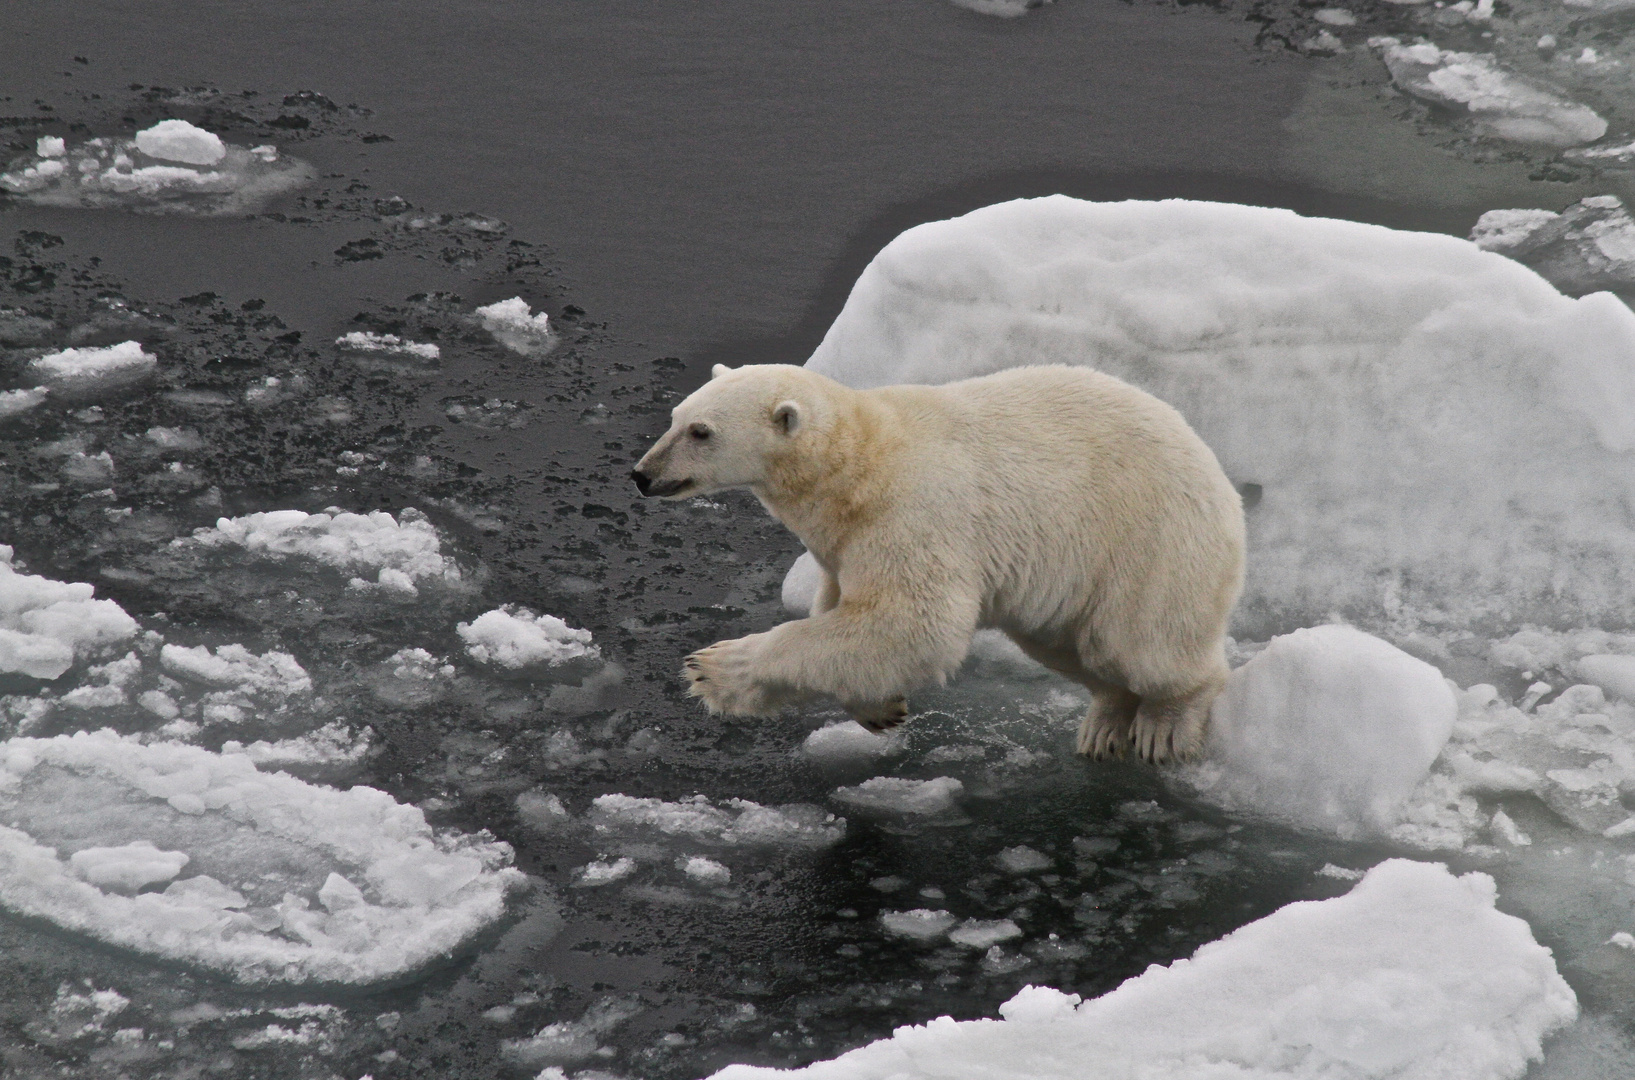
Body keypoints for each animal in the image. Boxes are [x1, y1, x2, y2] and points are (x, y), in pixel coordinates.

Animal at [631, 365, 1242, 761]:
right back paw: (1104, 725)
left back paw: (1165, 726)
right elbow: (841, 615)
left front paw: (712, 668)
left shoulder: (911, 514)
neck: (857, 464)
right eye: (675, 415)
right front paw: (880, 708)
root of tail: (1215, 468)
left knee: (1142, 642)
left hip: (1148, 537)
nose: (642, 474)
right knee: (1067, 644)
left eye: (702, 431)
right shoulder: (842, 542)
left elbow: (912, 621)